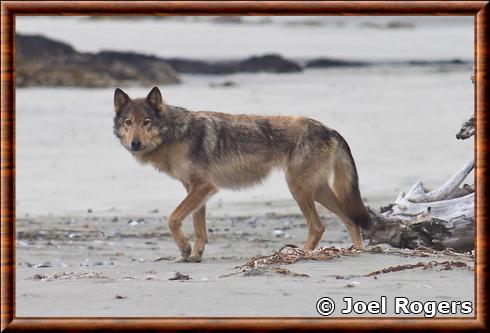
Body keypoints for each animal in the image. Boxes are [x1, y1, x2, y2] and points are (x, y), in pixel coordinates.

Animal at [113, 87, 372, 260]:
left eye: (146, 122)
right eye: (128, 122)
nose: (135, 143)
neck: (175, 133)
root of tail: (330, 129)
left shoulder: (204, 186)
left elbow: (172, 218)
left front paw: (185, 249)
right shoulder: (195, 189)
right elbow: (200, 229)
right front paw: (195, 255)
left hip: (298, 189)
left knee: (318, 227)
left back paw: (297, 255)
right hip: (317, 191)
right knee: (350, 219)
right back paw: (358, 251)